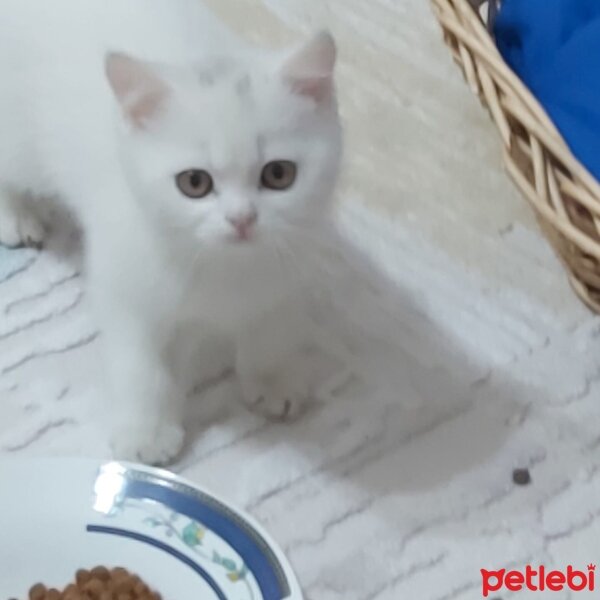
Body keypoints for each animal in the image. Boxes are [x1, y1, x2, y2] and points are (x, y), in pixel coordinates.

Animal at [0, 0, 342, 464]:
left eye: (279, 174)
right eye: (194, 183)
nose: (241, 219)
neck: (224, 266)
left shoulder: (288, 268)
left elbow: (271, 325)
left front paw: (273, 378)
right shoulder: (126, 286)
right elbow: (142, 366)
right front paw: (146, 431)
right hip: (20, 139)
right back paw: (16, 213)